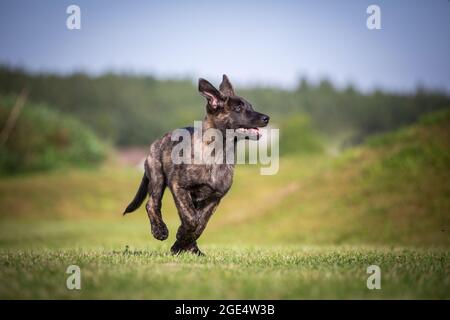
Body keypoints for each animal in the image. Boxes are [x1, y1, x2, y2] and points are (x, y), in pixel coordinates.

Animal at [123, 75, 268, 255]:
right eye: (238, 108)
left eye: (250, 106)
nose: (266, 118)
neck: (218, 152)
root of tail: (159, 139)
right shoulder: (179, 187)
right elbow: (192, 219)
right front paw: (180, 239)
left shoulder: (214, 197)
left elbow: (200, 223)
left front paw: (182, 243)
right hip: (157, 177)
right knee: (152, 204)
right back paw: (160, 230)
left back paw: (191, 247)